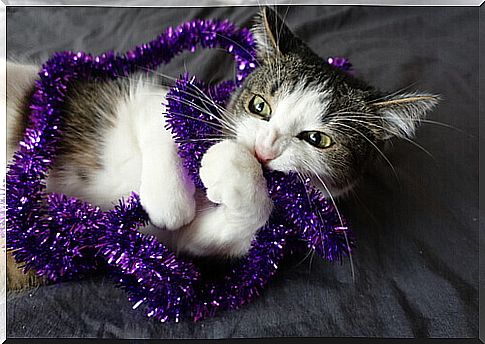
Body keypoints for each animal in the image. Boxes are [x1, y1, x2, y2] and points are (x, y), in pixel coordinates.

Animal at [5, 6, 438, 288]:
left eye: (318, 139)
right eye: (259, 106)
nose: (265, 148)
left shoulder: (189, 244)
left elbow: (215, 234)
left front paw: (231, 168)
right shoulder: (138, 95)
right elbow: (163, 112)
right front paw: (172, 200)